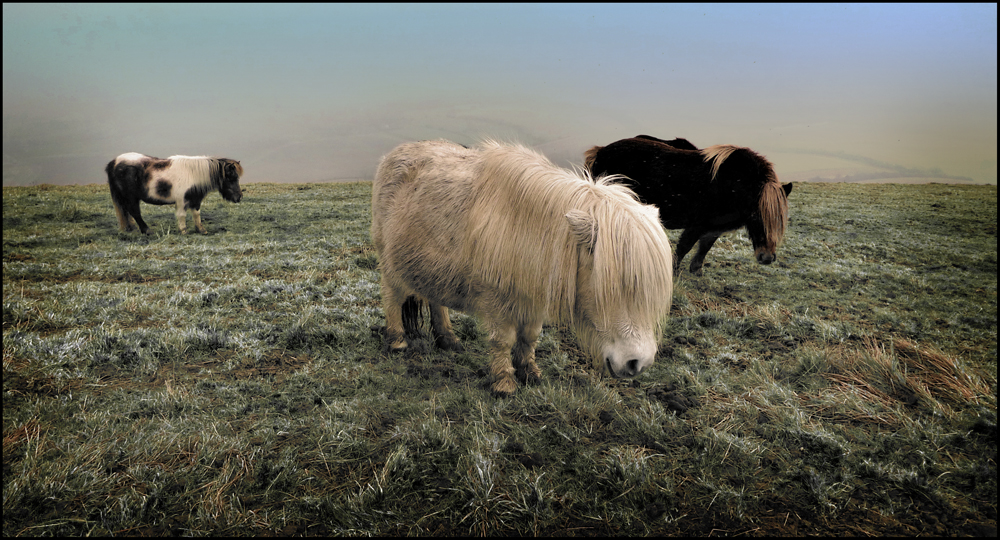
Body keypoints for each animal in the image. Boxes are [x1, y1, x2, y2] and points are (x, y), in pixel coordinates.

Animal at [105, 153, 244, 235]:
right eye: (232, 178)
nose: (239, 197)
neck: (193, 174)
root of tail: (114, 162)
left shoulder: (195, 199)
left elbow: (196, 214)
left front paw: (201, 230)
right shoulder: (182, 200)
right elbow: (182, 215)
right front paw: (183, 231)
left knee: (127, 212)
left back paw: (131, 229)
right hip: (131, 197)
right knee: (134, 212)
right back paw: (147, 230)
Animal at [372, 139, 674, 396]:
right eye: (613, 288)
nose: (638, 363)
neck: (528, 226)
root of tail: (393, 154)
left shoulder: (535, 296)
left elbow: (529, 336)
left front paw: (529, 372)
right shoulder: (495, 299)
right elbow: (503, 340)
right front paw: (504, 383)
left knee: (436, 300)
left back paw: (448, 339)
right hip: (388, 263)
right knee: (391, 296)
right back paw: (397, 341)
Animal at [584, 136, 791, 276]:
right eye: (756, 216)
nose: (767, 257)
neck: (734, 185)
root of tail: (600, 151)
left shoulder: (714, 227)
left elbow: (704, 247)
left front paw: (696, 270)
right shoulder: (696, 225)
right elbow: (684, 247)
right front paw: (673, 273)